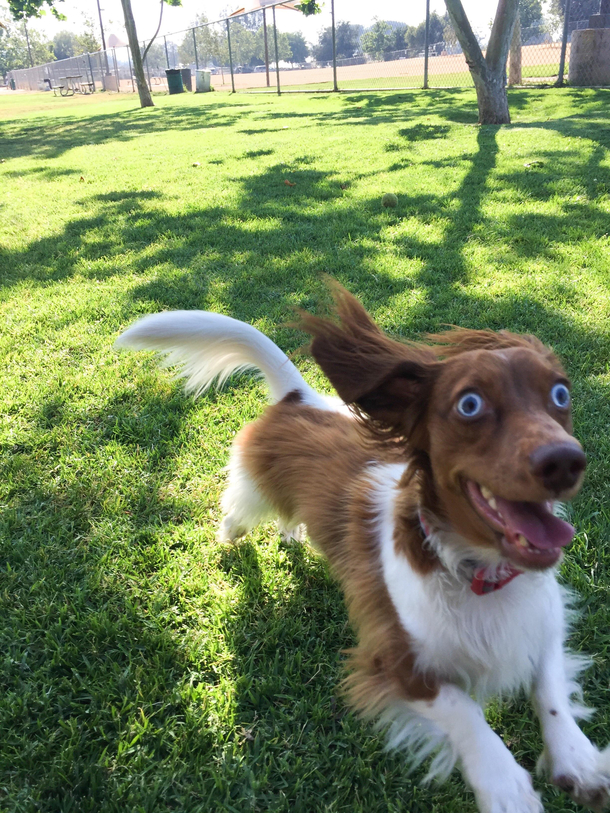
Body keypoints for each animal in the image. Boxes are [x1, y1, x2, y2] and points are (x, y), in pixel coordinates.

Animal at [116, 286, 608, 812]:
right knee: (237, 511)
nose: (565, 461)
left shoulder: (545, 622)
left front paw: (578, 759)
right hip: (253, 494)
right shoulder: (395, 660)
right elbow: (466, 713)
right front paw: (505, 785)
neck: (479, 571)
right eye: (470, 404)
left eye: (561, 394)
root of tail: (301, 396)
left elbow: (549, 685)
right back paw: (229, 537)